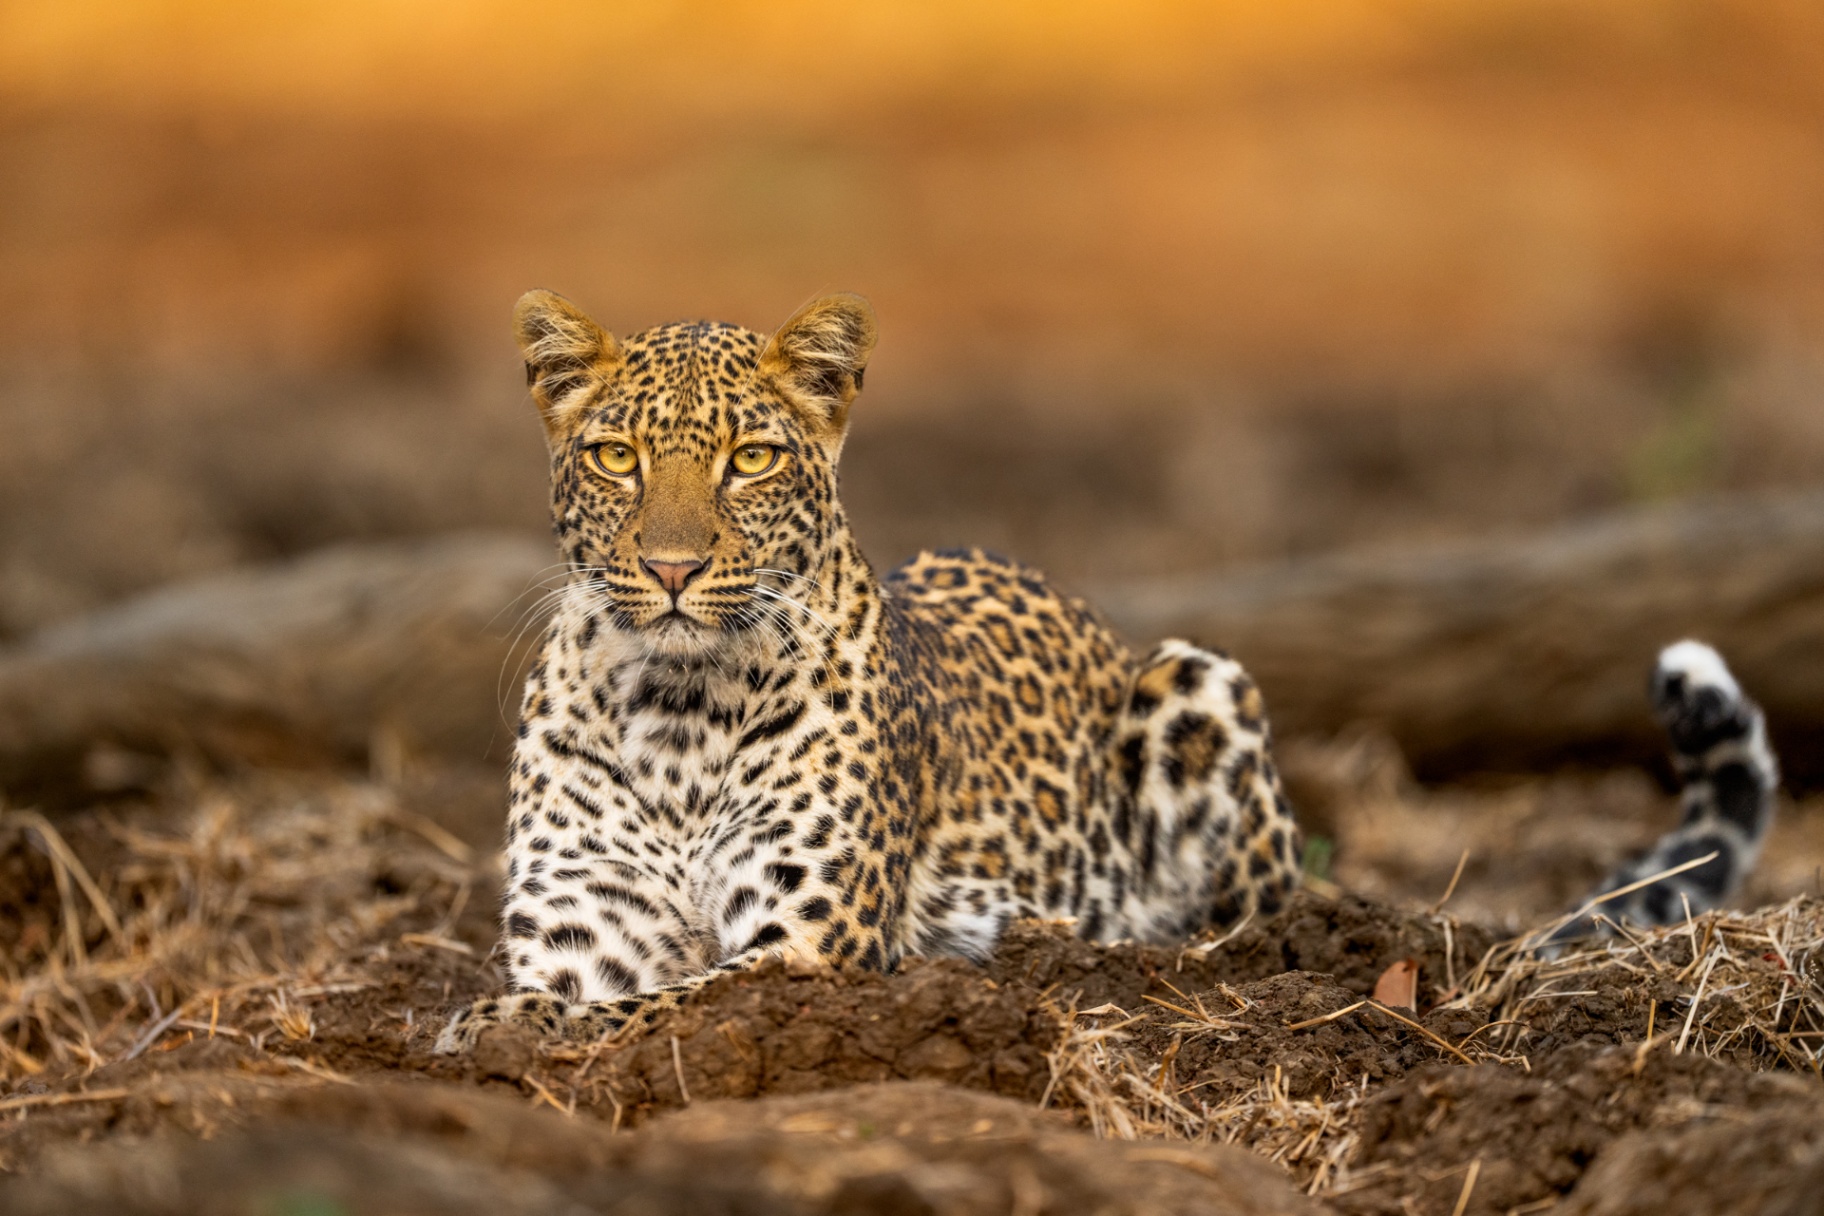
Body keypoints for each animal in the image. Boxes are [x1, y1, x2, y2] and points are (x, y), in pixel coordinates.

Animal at [435, 289, 1302, 1052]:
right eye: (617, 458)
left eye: (751, 459)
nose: (671, 569)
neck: (675, 710)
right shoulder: (586, 931)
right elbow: (577, 997)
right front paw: (493, 1026)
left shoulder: (811, 942)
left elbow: (653, 1008)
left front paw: (497, 1031)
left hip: (1201, 679)